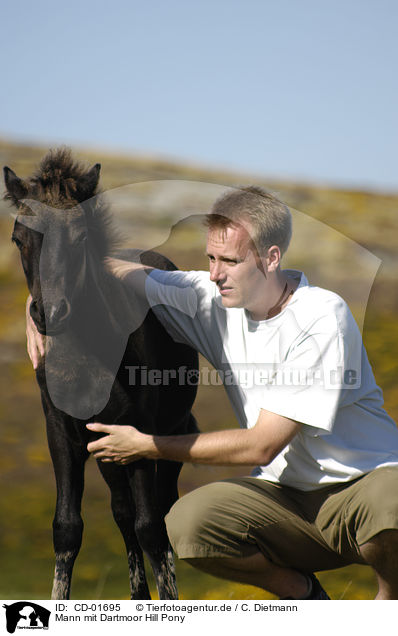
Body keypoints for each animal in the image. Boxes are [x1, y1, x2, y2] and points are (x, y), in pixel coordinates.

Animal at [3, 150, 199, 600]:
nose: (49, 314)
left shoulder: (140, 432)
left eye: (79, 238)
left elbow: (151, 528)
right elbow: (67, 528)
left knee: (160, 510)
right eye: (19, 238)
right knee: (122, 512)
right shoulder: (61, 432)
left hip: (172, 429)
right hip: (106, 446)